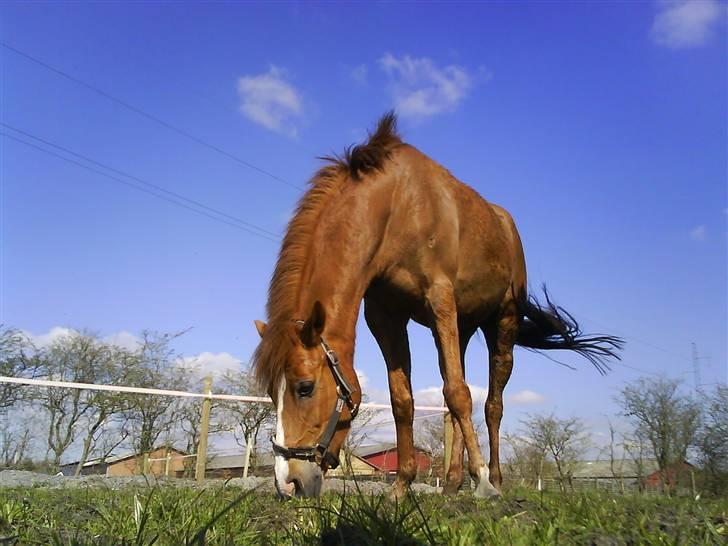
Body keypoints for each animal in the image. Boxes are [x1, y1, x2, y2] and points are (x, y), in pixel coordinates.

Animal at [252, 111, 620, 498]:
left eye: (304, 388)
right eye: (270, 392)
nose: (287, 482)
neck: (395, 209)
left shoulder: (439, 300)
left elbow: (458, 394)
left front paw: (483, 481)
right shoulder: (385, 317)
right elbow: (405, 399)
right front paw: (402, 486)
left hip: (501, 323)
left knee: (492, 404)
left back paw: (493, 478)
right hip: (463, 326)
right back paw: (455, 481)